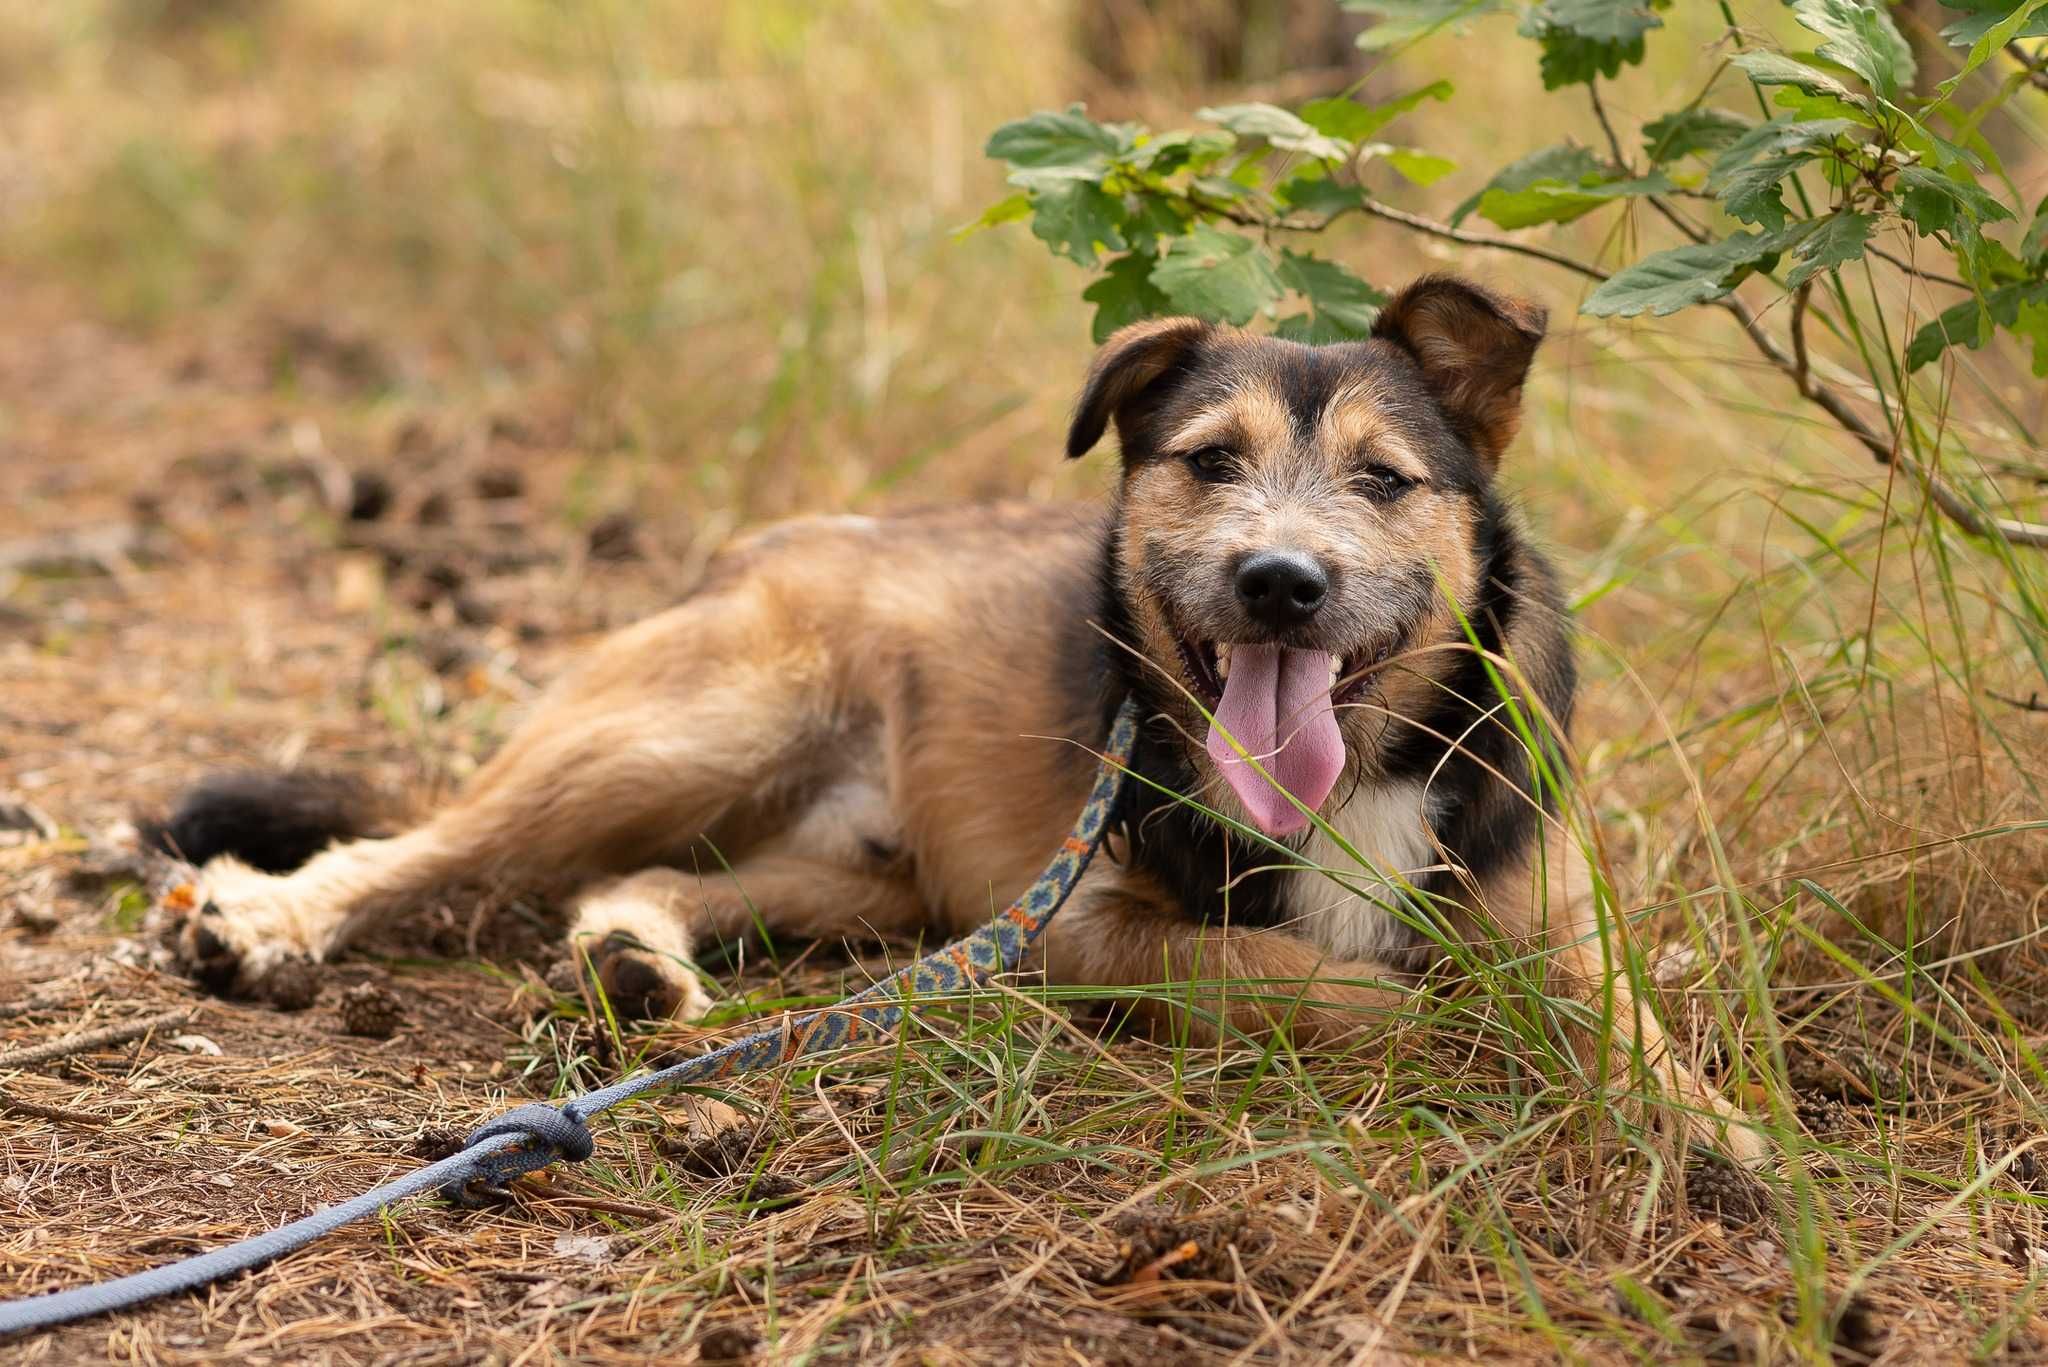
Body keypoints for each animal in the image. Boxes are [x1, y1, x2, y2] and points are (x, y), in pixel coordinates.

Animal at [155, 278, 1761, 1164]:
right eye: (1209, 460)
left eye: (1382, 479)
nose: (1280, 581)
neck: (1357, 769)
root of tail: (758, 547)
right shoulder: (1076, 926)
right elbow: (1327, 980)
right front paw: (1442, 1026)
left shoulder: (1555, 924)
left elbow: (1623, 1026)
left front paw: (1721, 1140)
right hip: (694, 735)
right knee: (432, 844)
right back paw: (268, 922)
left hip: (873, 881)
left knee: (652, 877)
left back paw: (630, 958)